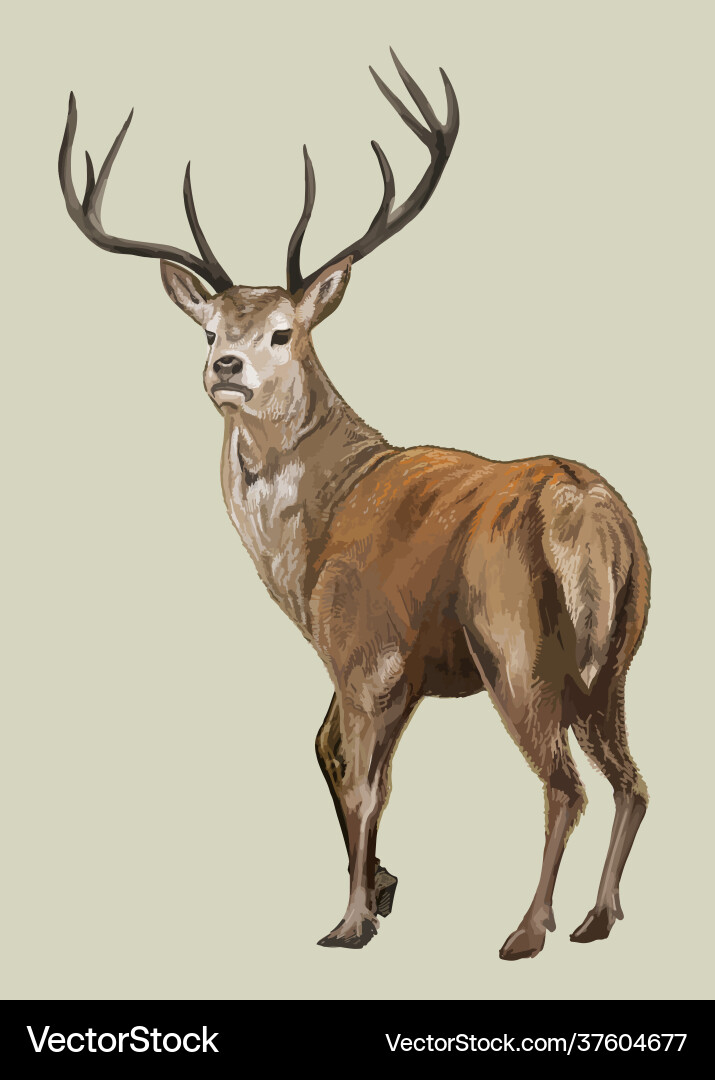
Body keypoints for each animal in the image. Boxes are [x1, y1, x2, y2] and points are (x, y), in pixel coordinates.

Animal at [59, 50, 650, 959]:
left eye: (283, 331)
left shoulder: (363, 646)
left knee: (564, 785)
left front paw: (351, 920)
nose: (225, 367)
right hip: (615, 656)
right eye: (208, 329)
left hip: (515, 646)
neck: (307, 545)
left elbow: (359, 776)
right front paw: (382, 888)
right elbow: (332, 754)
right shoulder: (395, 672)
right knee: (632, 779)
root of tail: (581, 507)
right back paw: (597, 916)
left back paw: (527, 929)